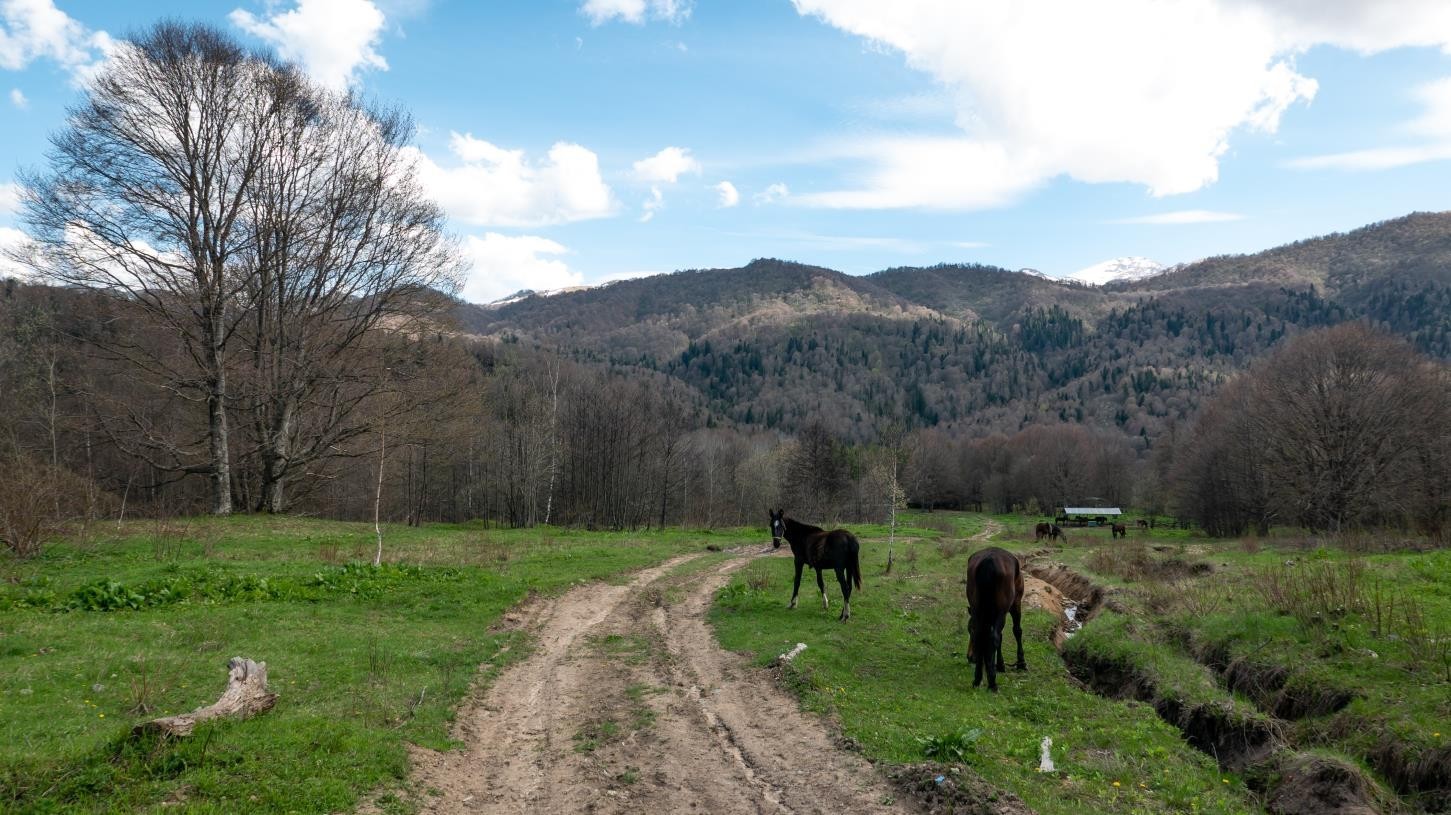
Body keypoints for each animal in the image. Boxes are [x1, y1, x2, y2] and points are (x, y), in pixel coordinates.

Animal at [969, 542, 1027, 687]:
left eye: (969, 630)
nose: (970, 657)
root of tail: (988, 561)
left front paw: (998, 664)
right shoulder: (1016, 603)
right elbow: (1017, 631)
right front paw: (1021, 662)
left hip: (978, 609)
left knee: (981, 635)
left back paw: (978, 678)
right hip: (1002, 610)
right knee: (995, 636)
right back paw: (992, 683)